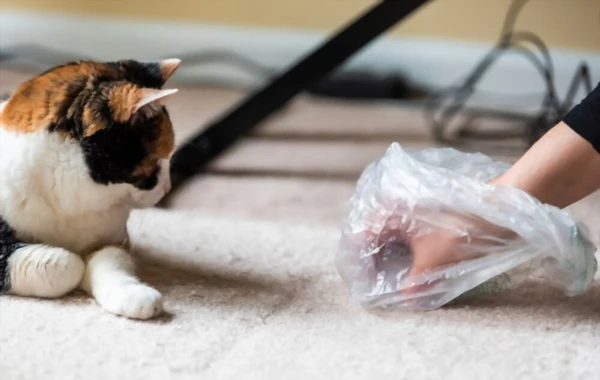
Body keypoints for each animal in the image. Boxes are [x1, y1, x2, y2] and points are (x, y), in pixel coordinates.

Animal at [0, 58, 180, 320]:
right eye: (156, 163)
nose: (167, 187)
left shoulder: (114, 239)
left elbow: (108, 261)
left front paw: (134, 295)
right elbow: (67, 264)